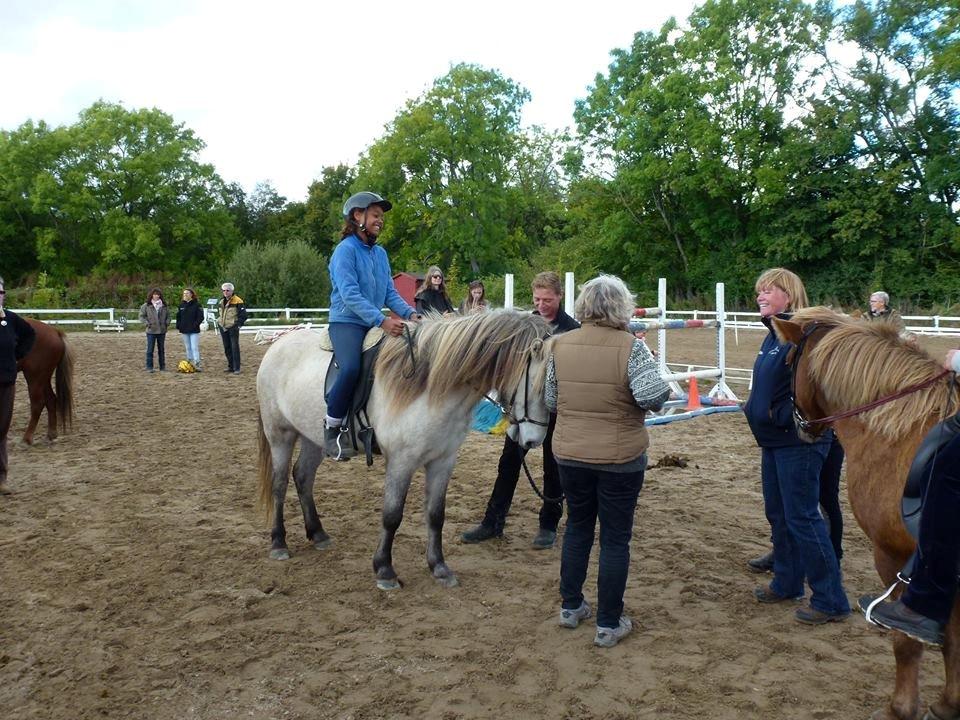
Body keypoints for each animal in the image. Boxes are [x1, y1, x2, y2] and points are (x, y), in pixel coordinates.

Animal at [776, 308, 960, 720]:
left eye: (788, 361)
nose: (798, 426)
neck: (898, 426)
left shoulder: (894, 554)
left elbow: (906, 640)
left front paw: (901, 708)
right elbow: (954, 639)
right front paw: (948, 703)